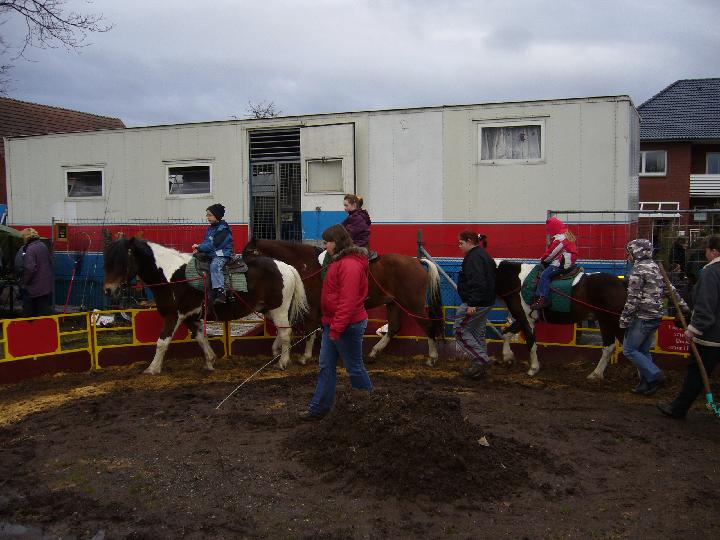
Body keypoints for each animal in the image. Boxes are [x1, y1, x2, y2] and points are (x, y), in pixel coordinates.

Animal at [103, 237, 308, 374]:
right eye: (107, 261)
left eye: (121, 261)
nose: (108, 290)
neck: (171, 276)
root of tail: (286, 267)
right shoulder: (191, 317)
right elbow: (201, 339)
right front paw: (210, 362)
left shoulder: (174, 315)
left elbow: (162, 342)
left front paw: (152, 368)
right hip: (268, 310)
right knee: (281, 331)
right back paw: (276, 353)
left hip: (279, 309)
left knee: (285, 333)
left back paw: (283, 362)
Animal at [242, 238, 445, 366]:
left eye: (249, 252)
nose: (241, 269)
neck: (306, 265)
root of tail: (417, 262)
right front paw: (277, 349)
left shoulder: (312, 307)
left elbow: (309, 329)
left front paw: (305, 357)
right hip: (394, 303)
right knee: (394, 327)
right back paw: (374, 353)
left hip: (413, 304)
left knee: (428, 326)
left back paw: (432, 357)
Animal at [494, 260, 627, 379]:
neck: (518, 282)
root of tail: (621, 283)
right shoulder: (522, 318)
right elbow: (505, 334)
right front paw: (508, 357)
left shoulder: (527, 320)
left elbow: (531, 345)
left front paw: (533, 369)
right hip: (605, 322)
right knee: (609, 347)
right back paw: (595, 374)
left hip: (614, 322)